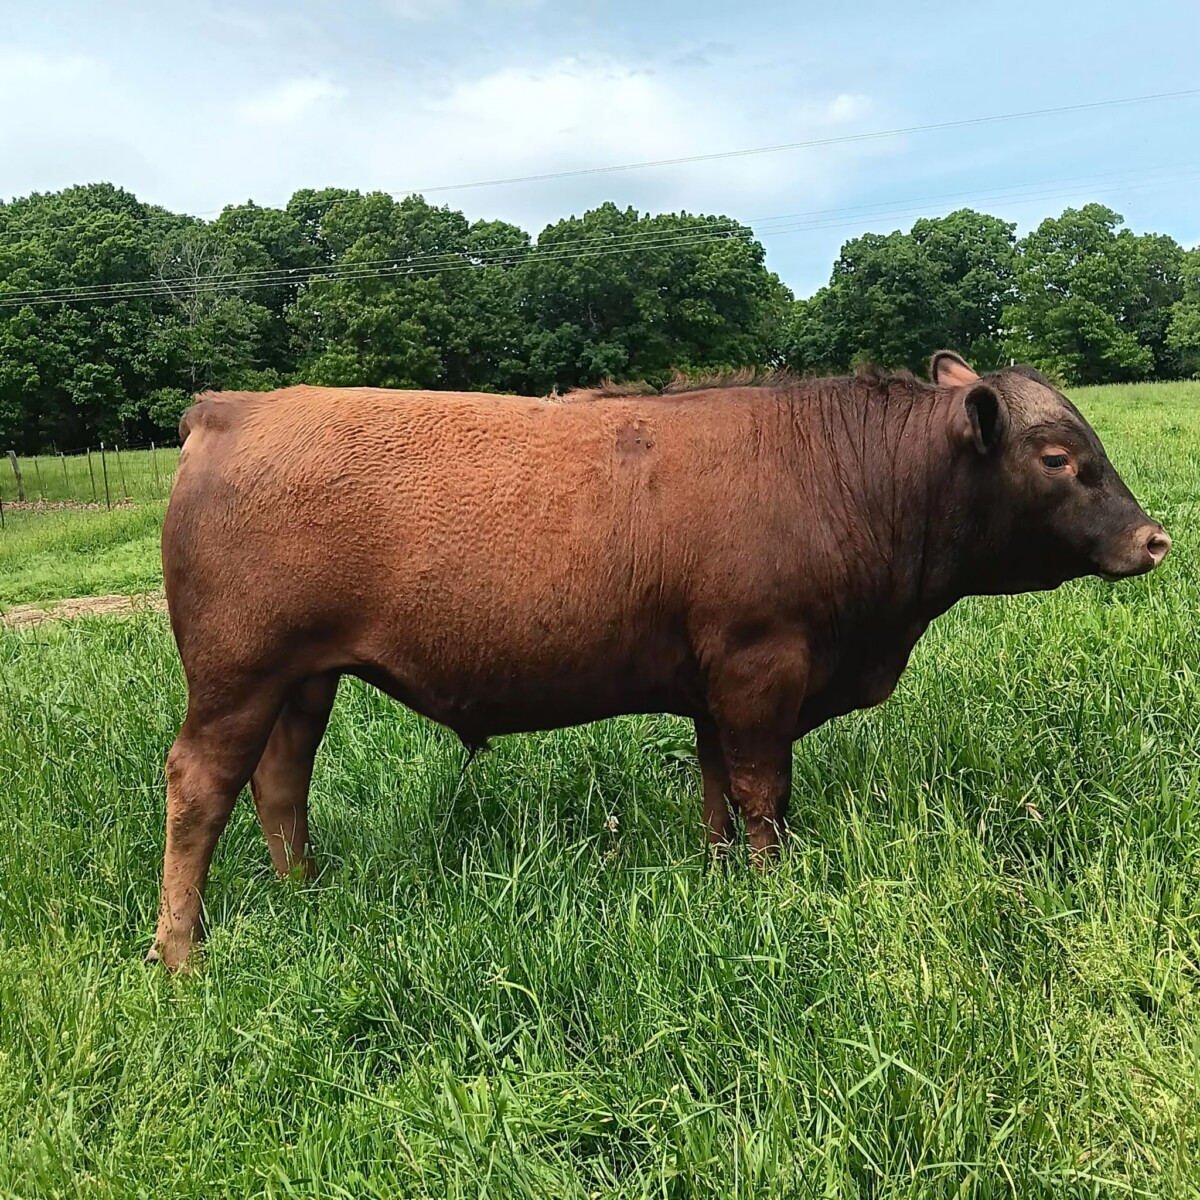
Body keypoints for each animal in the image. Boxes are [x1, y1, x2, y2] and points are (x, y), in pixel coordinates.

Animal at [149, 352, 1171, 969]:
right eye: (1056, 456)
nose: (1154, 538)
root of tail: (237, 407)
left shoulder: (715, 684)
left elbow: (717, 789)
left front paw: (723, 881)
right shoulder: (763, 667)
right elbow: (763, 791)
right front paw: (773, 889)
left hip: (303, 680)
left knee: (281, 782)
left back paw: (307, 895)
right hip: (237, 675)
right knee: (200, 787)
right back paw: (180, 952)